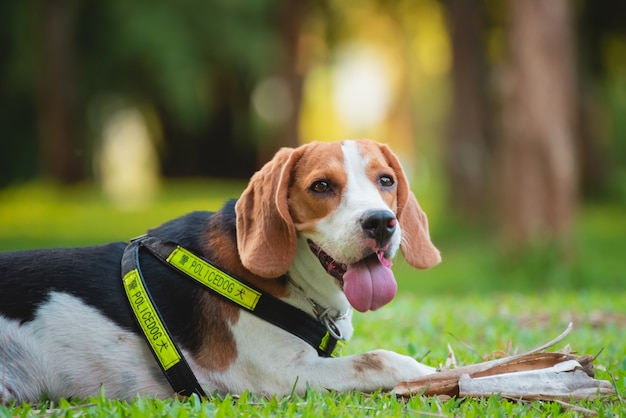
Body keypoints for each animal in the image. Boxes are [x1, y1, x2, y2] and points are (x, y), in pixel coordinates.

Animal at [0, 140, 438, 402]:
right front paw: (433, 372)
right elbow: (382, 358)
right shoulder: (280, 375)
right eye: (322, 186)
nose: (381, 223)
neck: (291, 279)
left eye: (386, 180)